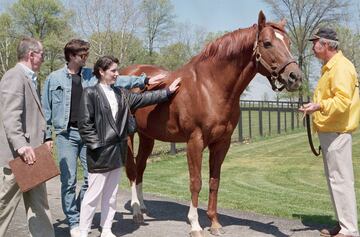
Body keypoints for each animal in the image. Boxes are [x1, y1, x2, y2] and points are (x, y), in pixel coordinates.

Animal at [122, 11, 302, 237]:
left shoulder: (222, 143)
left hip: (147, 137)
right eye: (268, 43)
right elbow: (196, 182)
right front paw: (195, 225)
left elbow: (214, 181)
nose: (295, 77)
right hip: (129, 136)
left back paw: (144, 207)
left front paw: (214, 223)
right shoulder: (195, 141)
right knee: (132, 170)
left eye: (288, 42)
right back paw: (137, 211)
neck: (210, 86)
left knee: (140, 167)